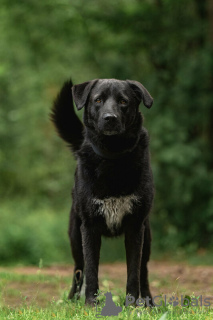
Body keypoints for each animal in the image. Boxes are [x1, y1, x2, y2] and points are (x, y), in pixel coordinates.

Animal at [51, 77, 155, 304]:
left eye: (123, 101)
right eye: (98, 100)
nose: (110, 118)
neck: (113, 157)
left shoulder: (135, 227)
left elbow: (133, 272)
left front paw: (131, 304)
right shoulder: (89, 228)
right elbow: (91, 270)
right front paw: (91, 303)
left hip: (147, 236)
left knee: (144, 270)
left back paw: (148, 302)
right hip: (75, 237)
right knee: (78, 269)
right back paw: (72, 299)